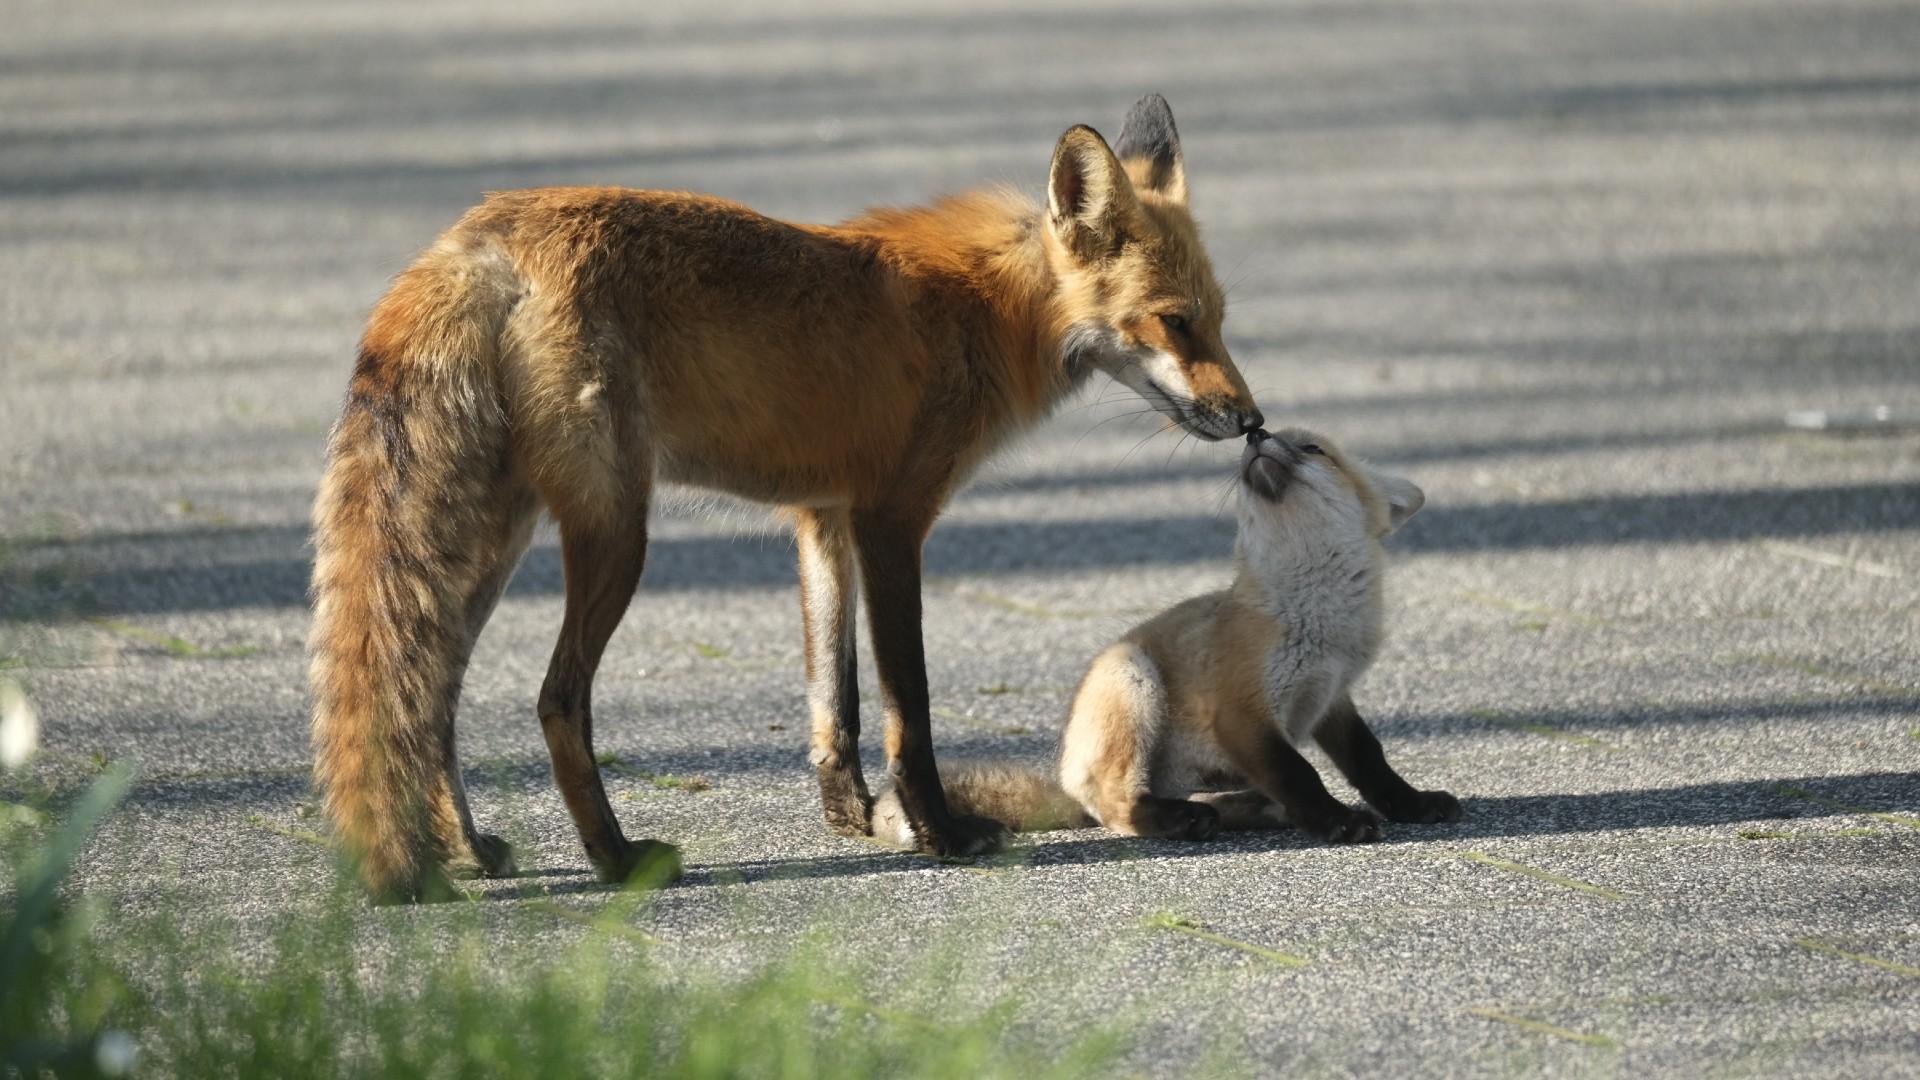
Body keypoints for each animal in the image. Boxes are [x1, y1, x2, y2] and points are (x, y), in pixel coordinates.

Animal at [307, 94, 1267, 899]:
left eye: (1220, 321)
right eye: (1174, 321)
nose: (1251, 420)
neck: (990, 310)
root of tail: (477, 236)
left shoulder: (822, 520)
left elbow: (833, 704)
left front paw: (861, 823)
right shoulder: (891, 520)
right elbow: (908, 704)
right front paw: (940, 833)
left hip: (494, 541)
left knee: (431, 697)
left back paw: (468, 852)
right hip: (617, 531)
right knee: (554, 697)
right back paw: (615, 859)